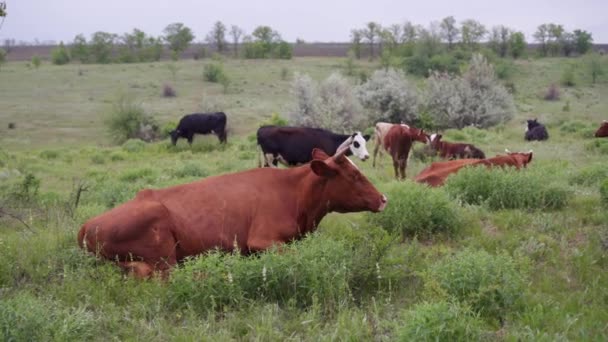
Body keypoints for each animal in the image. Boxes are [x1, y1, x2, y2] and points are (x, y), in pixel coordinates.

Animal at [78, 145, 388, 278]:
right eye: (354, 175)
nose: (383, 199)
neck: (294, 194)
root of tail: (85, 226)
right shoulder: (262, 241)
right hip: (164, 253)